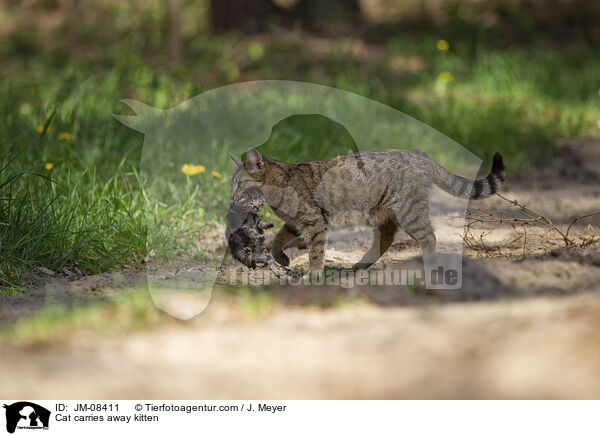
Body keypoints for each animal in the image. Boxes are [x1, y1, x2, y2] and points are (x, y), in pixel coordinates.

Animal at [231, 149, 506, 272]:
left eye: (240, 185)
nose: (232, 197)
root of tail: (418, 153)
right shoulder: (296, 222)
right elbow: (278, 238)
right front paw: (281, 257)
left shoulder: (314, 222)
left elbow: (316, 252)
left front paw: (314, 273)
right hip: (383, 212)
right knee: (386, 237)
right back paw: (362, 263)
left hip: (409, 211)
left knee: (428, 237)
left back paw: (428, 263)